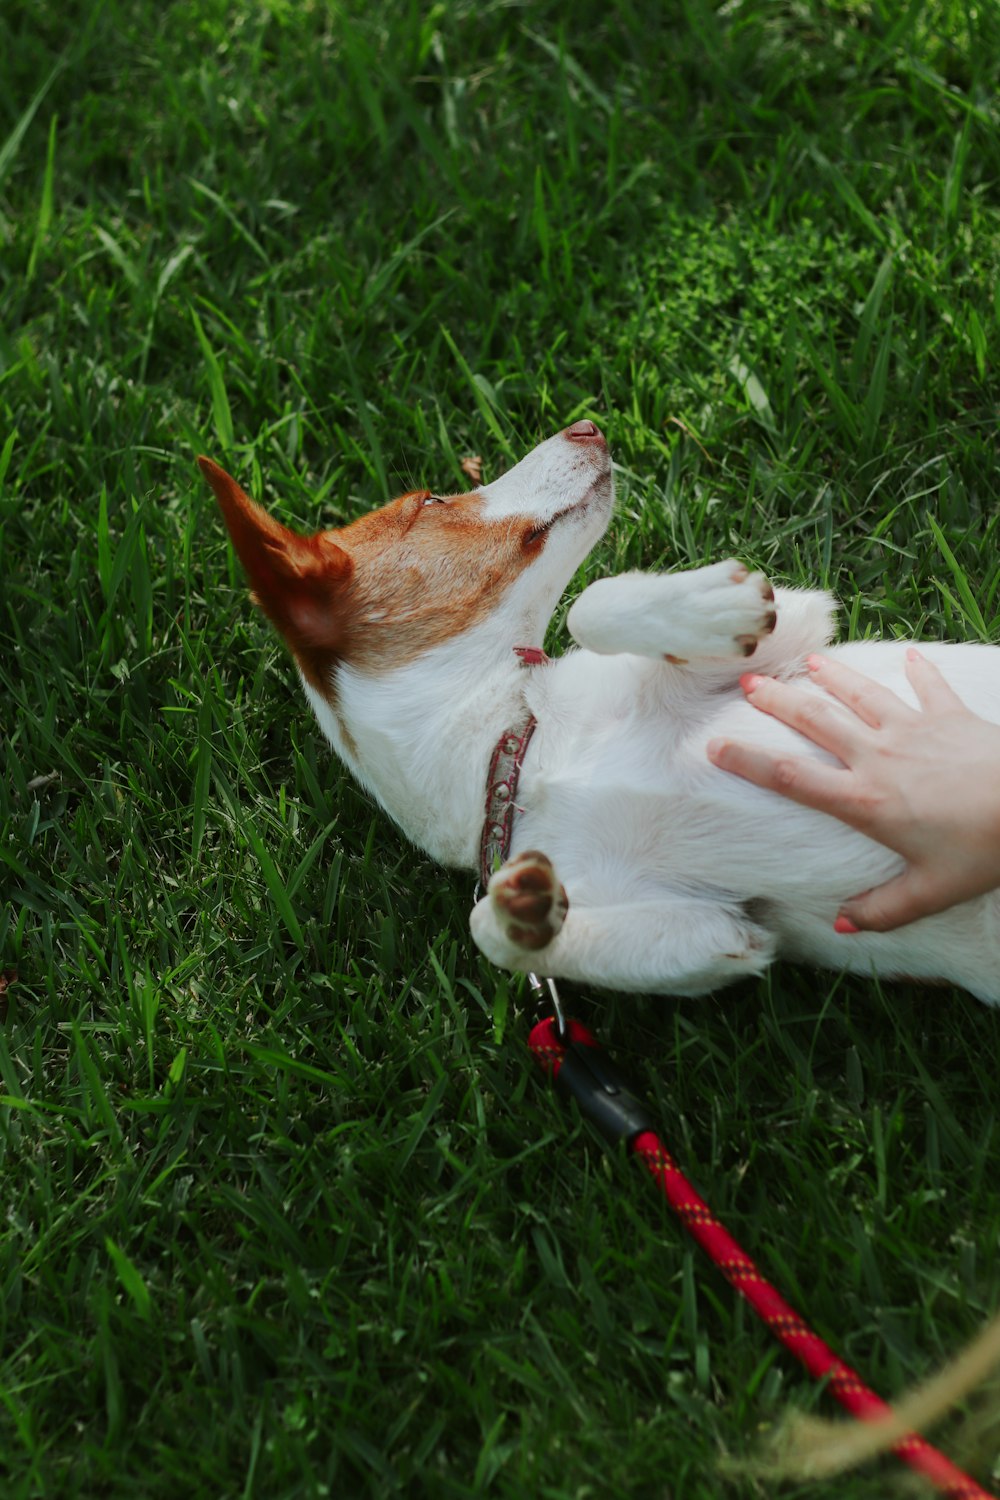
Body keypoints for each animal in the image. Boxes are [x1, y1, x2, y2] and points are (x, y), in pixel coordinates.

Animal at [199, 423, 1000, 1008]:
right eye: (430, 503)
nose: (586, 423)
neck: (524, 755)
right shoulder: (719, 934)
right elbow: (487, 929)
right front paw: (520, 914)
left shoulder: (794, 635)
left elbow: (593, 602)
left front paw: (713, 605)